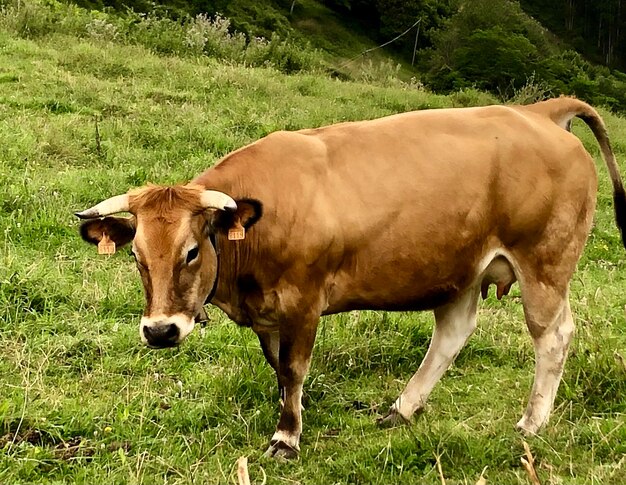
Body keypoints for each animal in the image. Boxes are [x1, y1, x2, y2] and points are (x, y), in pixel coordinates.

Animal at [75, 98, 620, 458]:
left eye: (191, 251)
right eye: (138, 257)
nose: (160, 331)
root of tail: (538, 109)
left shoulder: (303, 300)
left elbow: (293, 369)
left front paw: (286, 438)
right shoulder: (270, 314)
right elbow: (279, 370)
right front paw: (291, 415)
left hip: (545, 265)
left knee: (553, 336)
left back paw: (531, 423)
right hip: (462, 267)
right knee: (453, 332)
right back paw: (403, 408)